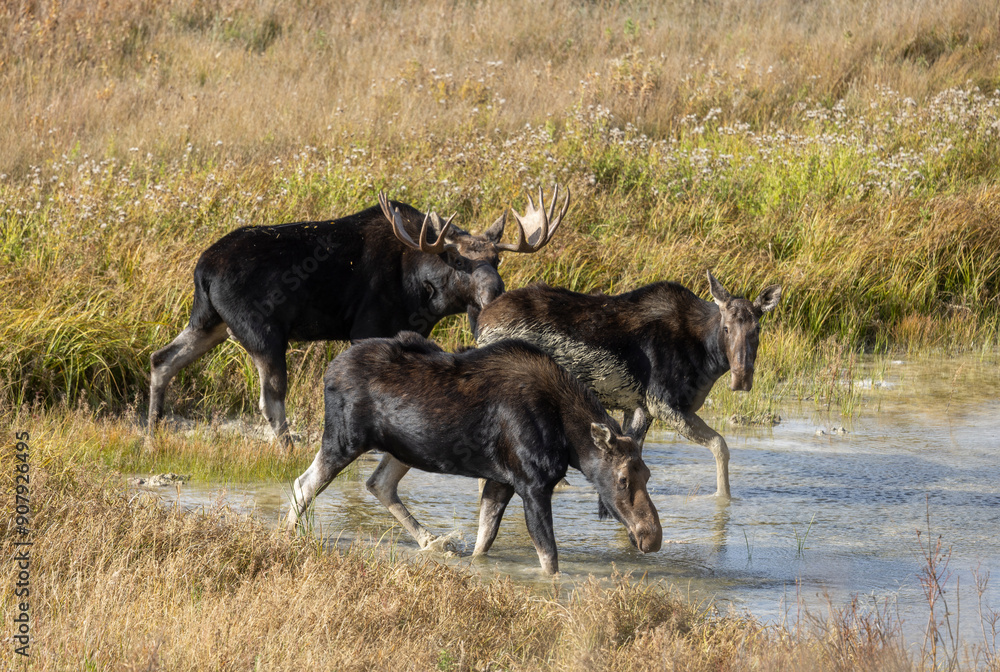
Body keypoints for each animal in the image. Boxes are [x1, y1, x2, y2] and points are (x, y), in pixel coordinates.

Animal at [147, 187, 570, 452]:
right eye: (460, 261)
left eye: (497, 259)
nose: (494, 292)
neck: (425, 290)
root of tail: (202, 270)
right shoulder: (367, 327)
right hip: (261, 331)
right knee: (270, 399)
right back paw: (288, 451)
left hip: (209, 321)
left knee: (161, 359)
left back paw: (151, 433)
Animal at [284, 332, 662, 574]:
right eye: (623, 478)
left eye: (648, 475)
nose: (652, 537)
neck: (570, 441)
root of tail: (329, 370)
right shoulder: (533, 485)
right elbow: (549, 558)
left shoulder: (501, 481)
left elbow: (484, 541)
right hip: (343, 439)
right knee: (304, 484)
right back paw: (287, 538)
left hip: (402, 448)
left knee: (378, 483)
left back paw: (432, 541)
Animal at [473, 271, 783, 500]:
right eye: (727, 328)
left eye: (757, 329)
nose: (742, 378)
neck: (706, 356)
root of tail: (481, 324)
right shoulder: (663, 403)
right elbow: (721, 445)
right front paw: (723, 498)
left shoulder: (638, 407)